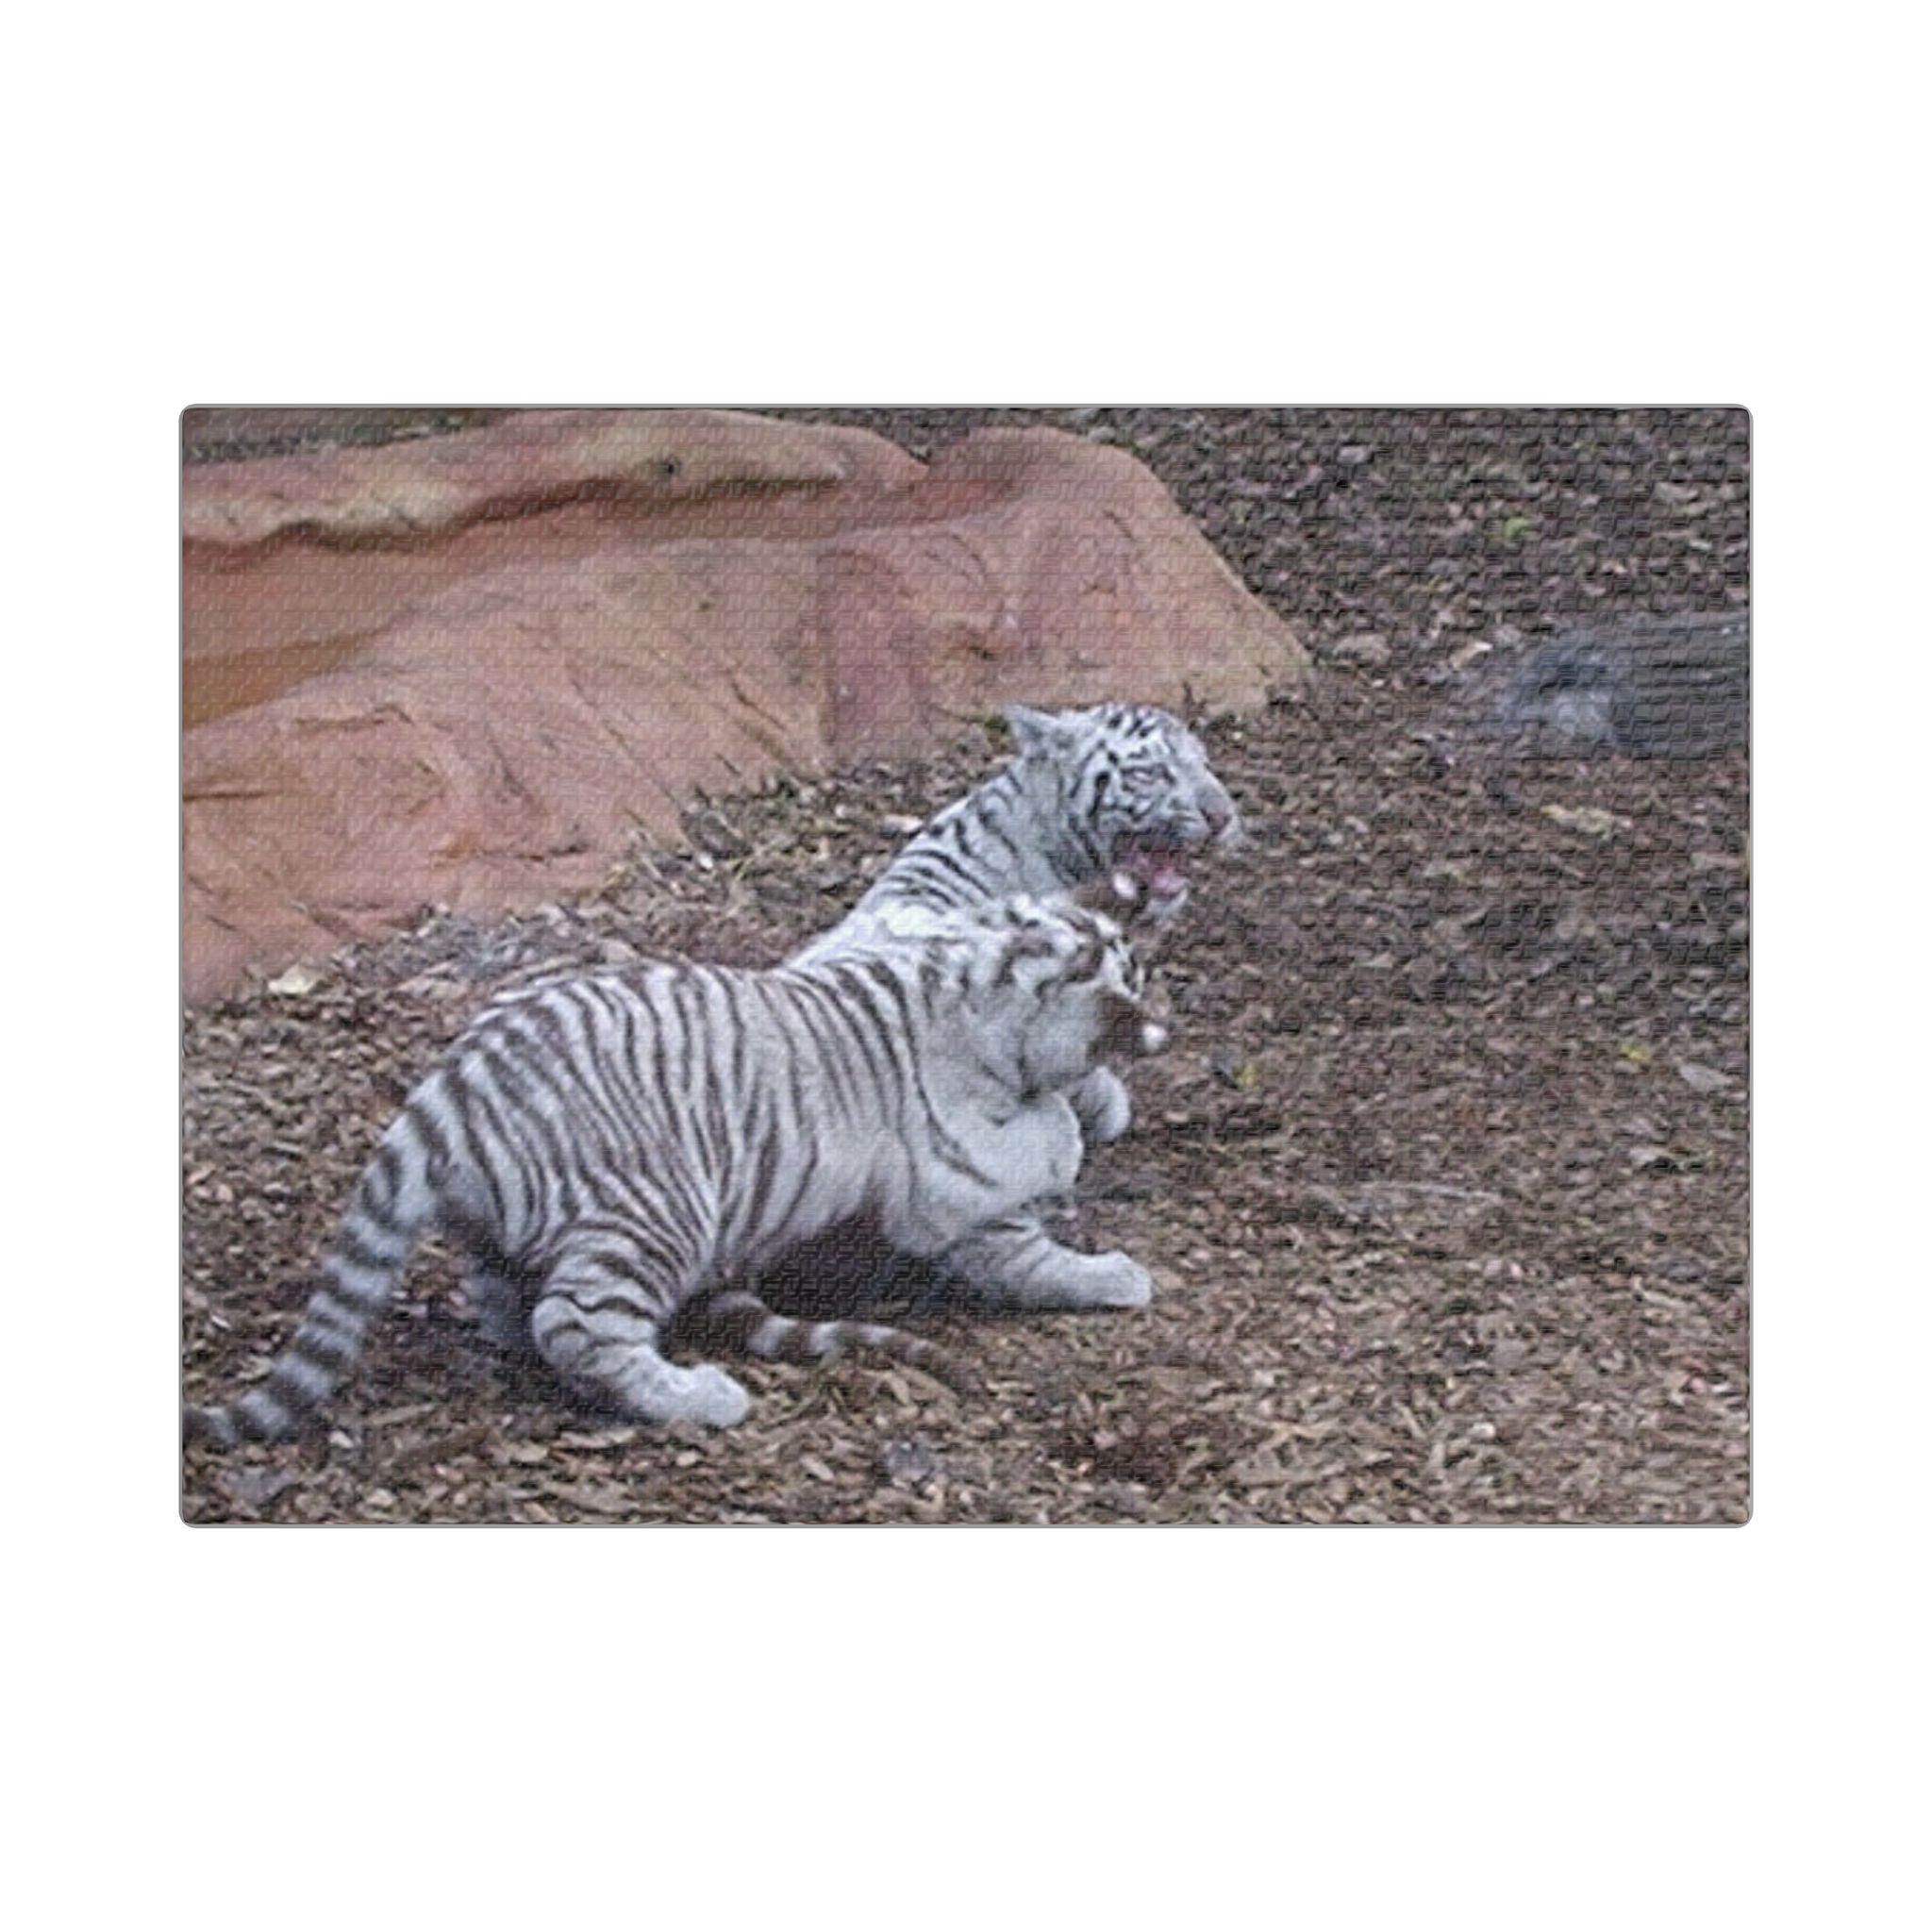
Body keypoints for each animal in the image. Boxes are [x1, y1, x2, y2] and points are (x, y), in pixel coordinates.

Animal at [184, 878, 1169, 1447]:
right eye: (1128, 979)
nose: (1159, 1024)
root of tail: (453, 1085)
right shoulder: (965, 1198)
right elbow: (1034, 1248)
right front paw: (1113, 1271)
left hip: (508, 1230)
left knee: (511, 1309)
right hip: (655, 1214)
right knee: (576, 1323)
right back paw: (697, 1396)